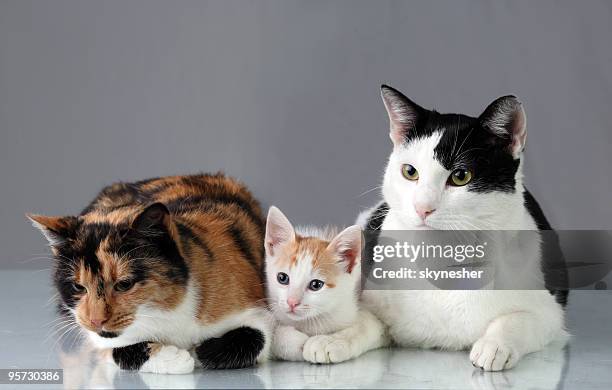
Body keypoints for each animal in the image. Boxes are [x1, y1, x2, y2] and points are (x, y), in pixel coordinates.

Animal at [26, 174, 270, 374]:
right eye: (78, 286)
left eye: (124, 284)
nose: (96, 320)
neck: (163, 311)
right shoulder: (96, 336)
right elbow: (116, 349)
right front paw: (174, 358)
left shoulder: (255, 309)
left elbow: (254, 338)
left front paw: (194, 352)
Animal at [262, 206, 388, 364]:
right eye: (282, 278)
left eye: (316, 285)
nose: (292, 302)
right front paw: (293, 342)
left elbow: (364, 327)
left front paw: (327, 342)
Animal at [358, 84, 568, 372]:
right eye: (410, 172)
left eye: (460, 176)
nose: (422, 208)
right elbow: (362, 320)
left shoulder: (550, 313)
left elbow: (518, 319)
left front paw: (494, 346)